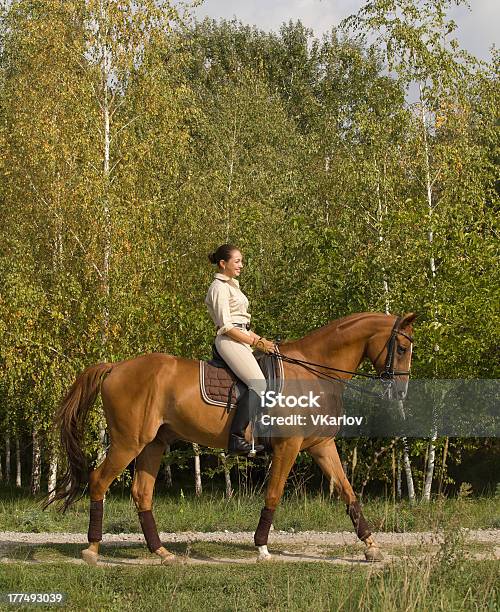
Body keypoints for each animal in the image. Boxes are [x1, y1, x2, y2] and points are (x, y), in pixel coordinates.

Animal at [46, 314, 414, 568]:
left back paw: (162, 553)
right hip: (128, 443)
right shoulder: (289, 447)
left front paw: (372, 546)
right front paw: (262, 547)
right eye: (403, 348)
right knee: (99, 480)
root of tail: (115, 367)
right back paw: (92, 550)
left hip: (152, 445)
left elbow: (349, 493)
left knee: (142, 494)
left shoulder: (321, 446)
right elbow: (274, 494)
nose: (400, 393)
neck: (312, 372)